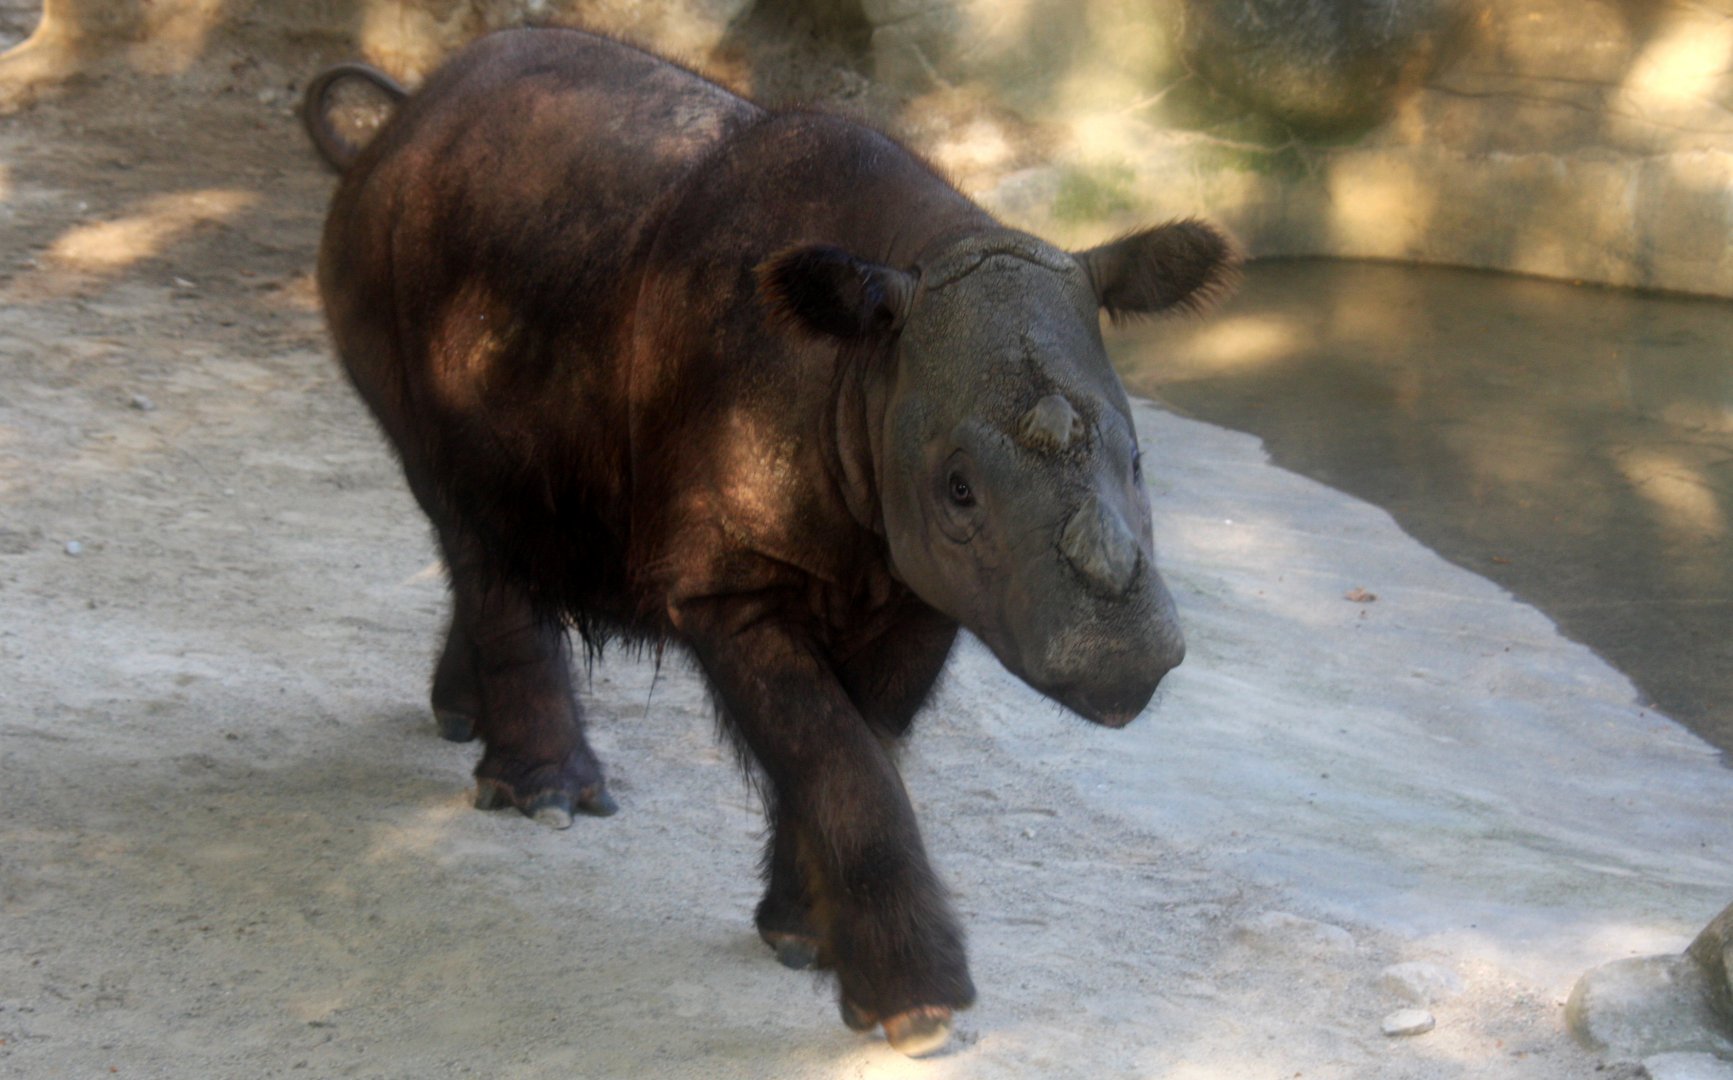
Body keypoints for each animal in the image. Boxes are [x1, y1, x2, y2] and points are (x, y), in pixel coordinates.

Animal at [306, 26, 1236, 1056]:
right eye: (958, 490)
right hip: (392, 258)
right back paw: (548, 802)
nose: (1121, 661)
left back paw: (460, 719)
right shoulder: (729, 578)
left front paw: (802, 938)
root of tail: (404, 117)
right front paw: (916, 1009)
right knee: (463, 514)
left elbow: (860, 742)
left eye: (1141, 460)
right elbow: (834, 753)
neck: (872, 359)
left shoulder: (918, 580)